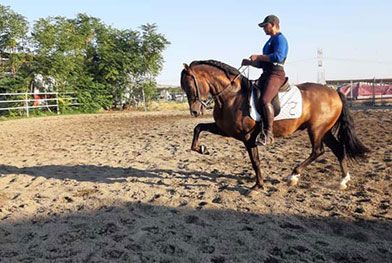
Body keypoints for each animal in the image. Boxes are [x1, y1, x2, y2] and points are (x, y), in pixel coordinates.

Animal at [179, 60, 370, 190]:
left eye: (190, 85)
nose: (194, 111)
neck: (232, 96)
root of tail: (335, 92)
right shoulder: (225, 129)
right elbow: (198, 127)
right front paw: (202, 149)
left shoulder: (248, 138)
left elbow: (255, 161)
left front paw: (258, 185)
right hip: (325, 130)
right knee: (338, 149)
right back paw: (343, 181)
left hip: (316, 129)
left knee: (318, 150)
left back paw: (293, 176)